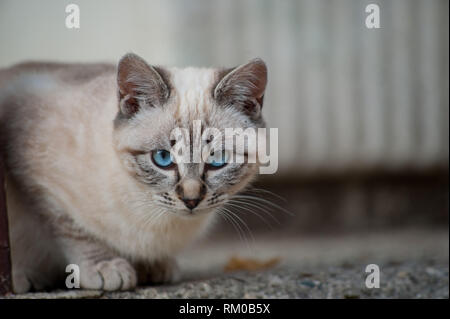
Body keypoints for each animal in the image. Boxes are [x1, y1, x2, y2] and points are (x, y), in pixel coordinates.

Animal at [0, 53, 268, 294]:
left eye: (217, 159)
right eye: (163, 158)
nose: (191, 200)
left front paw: (150, 267)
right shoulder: (37, 182)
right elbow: (73, 230)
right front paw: (106, 267)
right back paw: (23, 279)